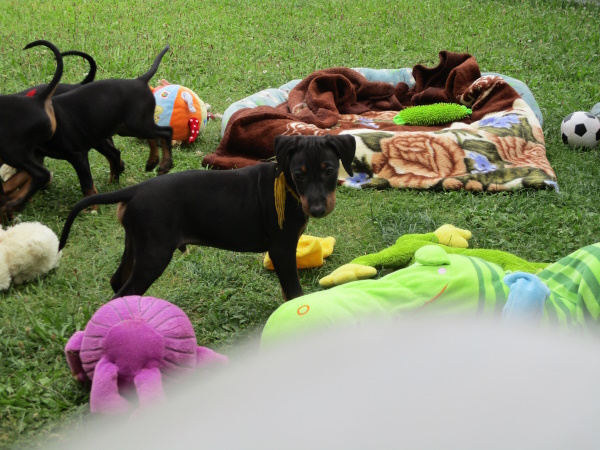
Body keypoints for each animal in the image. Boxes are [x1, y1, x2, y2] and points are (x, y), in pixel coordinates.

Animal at [59, 134, 356, 300]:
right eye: (299, 174)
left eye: (329, 170)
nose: (318, 210)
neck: (289, 188)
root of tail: (134, 190)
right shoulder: (282, 248)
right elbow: (293, 291)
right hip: (155, 253)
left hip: (136, 243)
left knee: (117, 282)